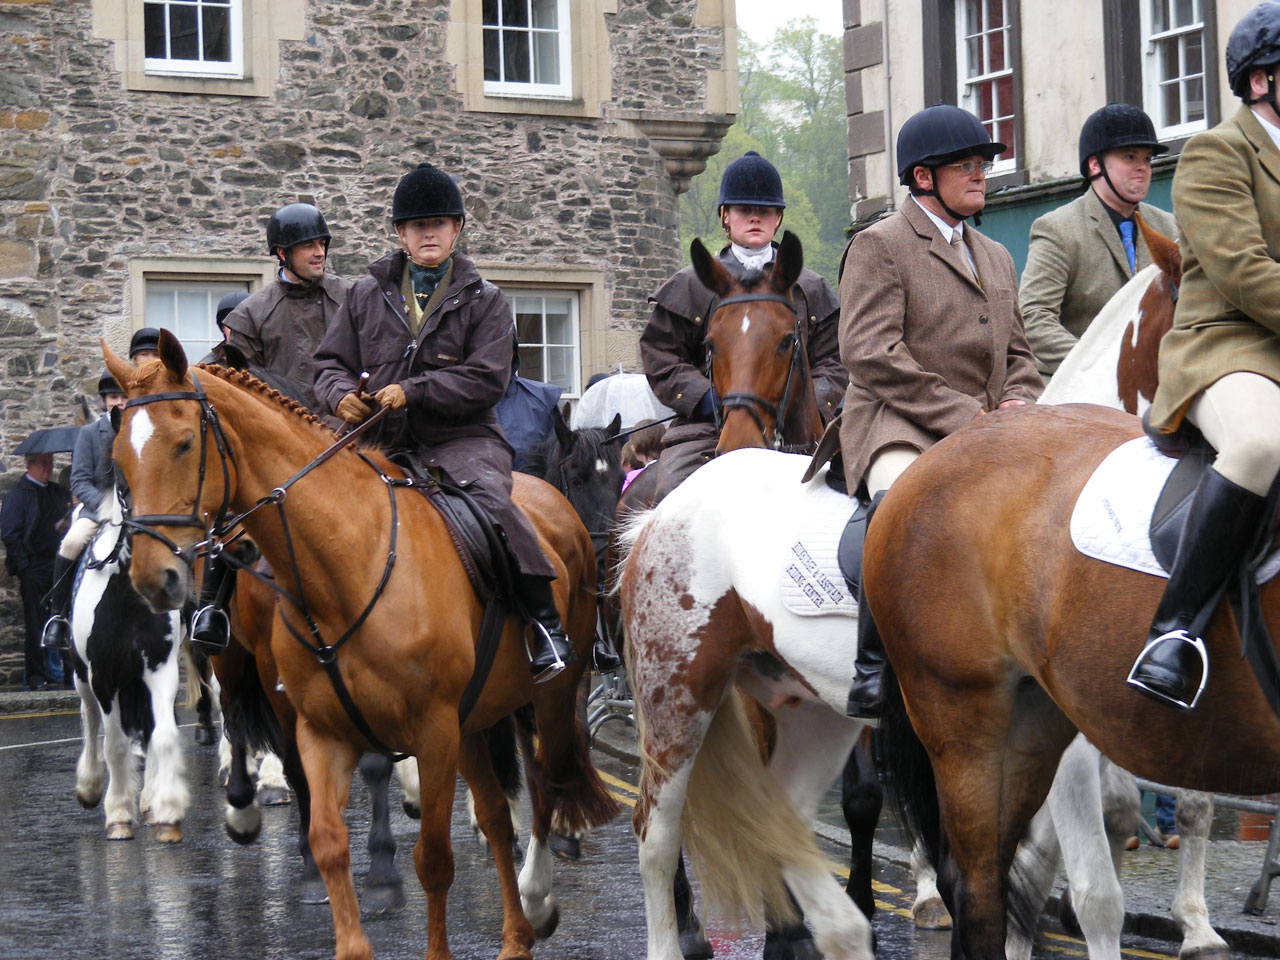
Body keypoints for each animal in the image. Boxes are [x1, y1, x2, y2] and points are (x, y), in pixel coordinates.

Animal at [103, 335, 614, 960]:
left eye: (183, 443)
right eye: (119, 459)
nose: (154, 578)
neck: (348, 562)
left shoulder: (431, 732)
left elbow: (433, 858)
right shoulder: (323, 729)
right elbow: (326, 837)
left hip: (551, 697)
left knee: (546, 784)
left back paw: (538, 895)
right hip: (469, 718)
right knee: (497, 813)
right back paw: (516, 934)